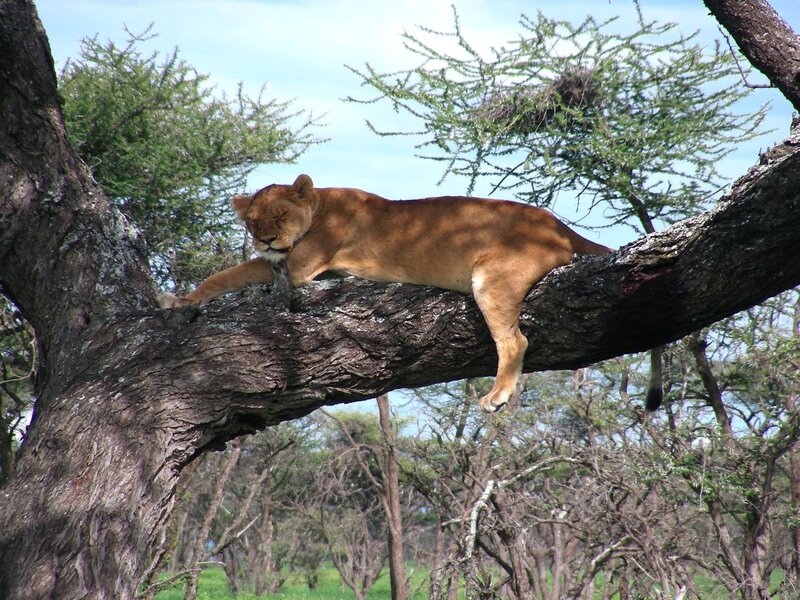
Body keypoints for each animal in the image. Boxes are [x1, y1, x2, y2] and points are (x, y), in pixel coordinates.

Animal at [159, 174, 623, 412]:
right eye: (252, 222)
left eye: (279, 216)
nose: (265, 239)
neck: (320, 203)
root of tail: (558, 224)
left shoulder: (299, 265)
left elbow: (230, 273)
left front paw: (178, 299)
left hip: (491, 278)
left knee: (515, 341)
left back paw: (498, 395)